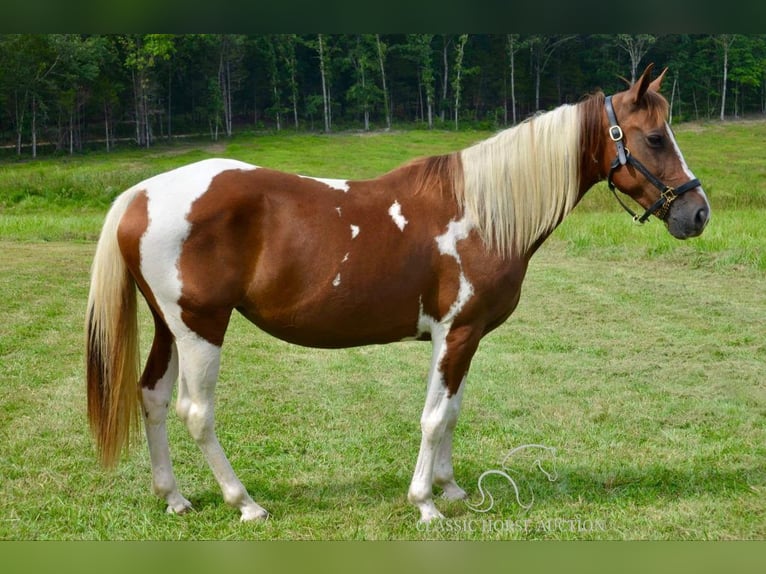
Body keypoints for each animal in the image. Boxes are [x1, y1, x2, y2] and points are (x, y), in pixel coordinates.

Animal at [87, 64, 712, 528]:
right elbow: (434, 418)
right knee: (196, 412)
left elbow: (453, 411)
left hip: (170, 327)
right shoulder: (455, 332)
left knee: (152, 398)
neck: (481, 211)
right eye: (654, 137)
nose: (697, 212)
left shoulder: (465, 339)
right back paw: (245, 503)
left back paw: (174, 497)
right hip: (201, 328)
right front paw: (426, 503)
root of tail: (140, 193)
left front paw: (451, 488)